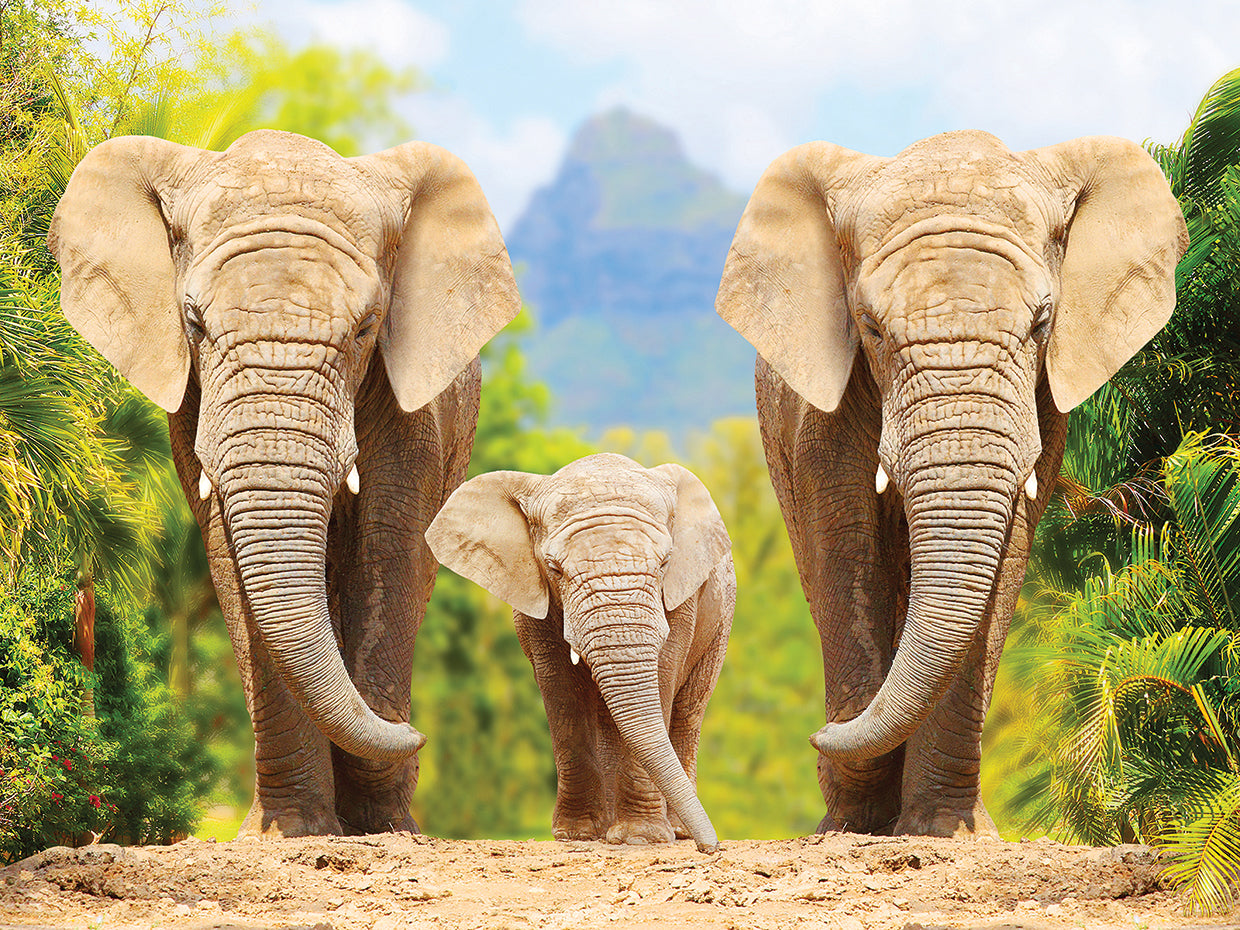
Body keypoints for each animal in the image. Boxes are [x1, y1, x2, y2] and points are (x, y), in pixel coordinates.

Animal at [48, 129, 520, 837]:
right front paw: (292, 831)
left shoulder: (415, 414)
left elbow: (388, 551)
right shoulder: (191, 404)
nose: (417, 736)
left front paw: (383, 827)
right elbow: (229, 559)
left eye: (367, 326)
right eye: (193, 323)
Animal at [424, 453, 734, 853]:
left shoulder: (682, 598)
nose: (710, 848)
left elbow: (663, 675)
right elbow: (561, 690)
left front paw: (640, 839)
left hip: (721, 623)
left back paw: (675, 830)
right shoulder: (534, 598)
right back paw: (610, 830)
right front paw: (578, 834)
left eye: (665, 563)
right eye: (554, 568)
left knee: (688, 711)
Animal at [715, 131, 1187, 837]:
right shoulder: (820, 416)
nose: (817, 737)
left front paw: (944, 831)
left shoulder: (1043, 406)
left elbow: (1004, 562)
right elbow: (846, 552)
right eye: (869, 327)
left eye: (1043, 323)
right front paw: (853, 825)